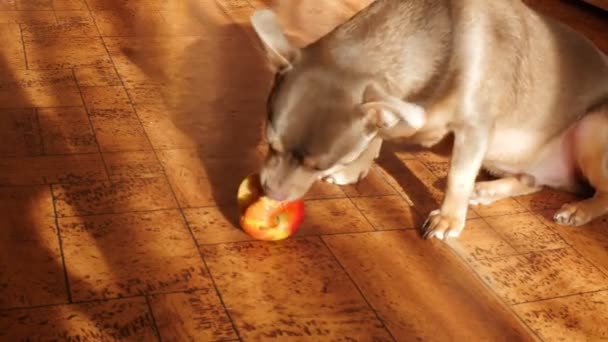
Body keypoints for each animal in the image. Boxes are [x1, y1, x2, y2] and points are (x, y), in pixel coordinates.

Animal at [251, 0, 608, 240]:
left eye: (319, 165)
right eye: (269, 143)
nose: (270, 192)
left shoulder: (475, 129)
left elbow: (457, 177)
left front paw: (448, 220)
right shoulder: (393, 106)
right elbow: (377, 135)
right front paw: (355, 169)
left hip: (592, 128)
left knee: (600, 193)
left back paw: (579, 210)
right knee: (532, 181)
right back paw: (487, 191)